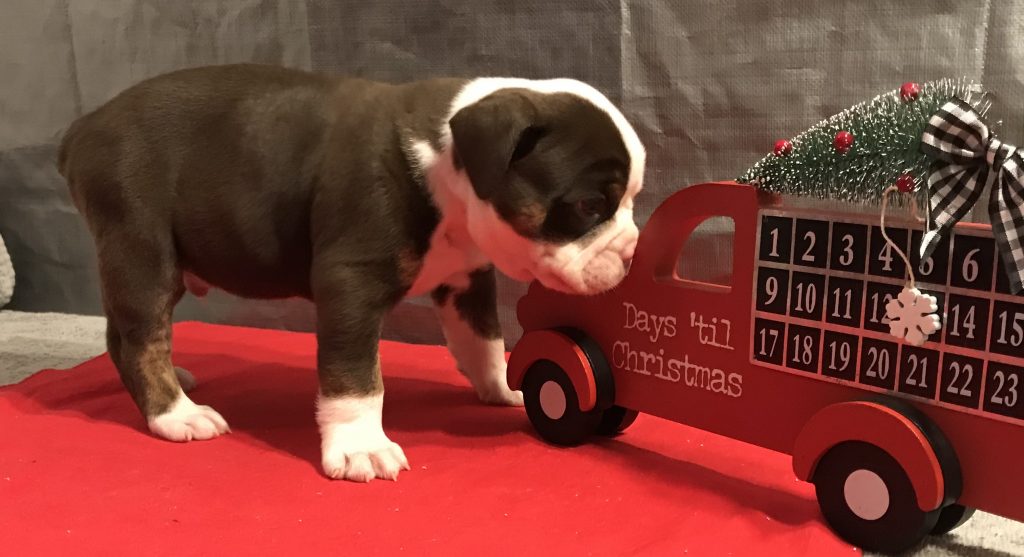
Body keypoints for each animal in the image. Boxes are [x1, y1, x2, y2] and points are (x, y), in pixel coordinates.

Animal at [58, 64, 645, 482]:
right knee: (141, 338)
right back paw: (176, 414)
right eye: (590, 205)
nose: (631, 251)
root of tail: (83, 128)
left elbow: (482, 341)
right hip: (141, 245)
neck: (448, 167)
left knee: (127, 336)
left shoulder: (467, 280)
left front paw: (503, 384)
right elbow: (356, 377)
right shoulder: (351, 284)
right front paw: (362, 446)